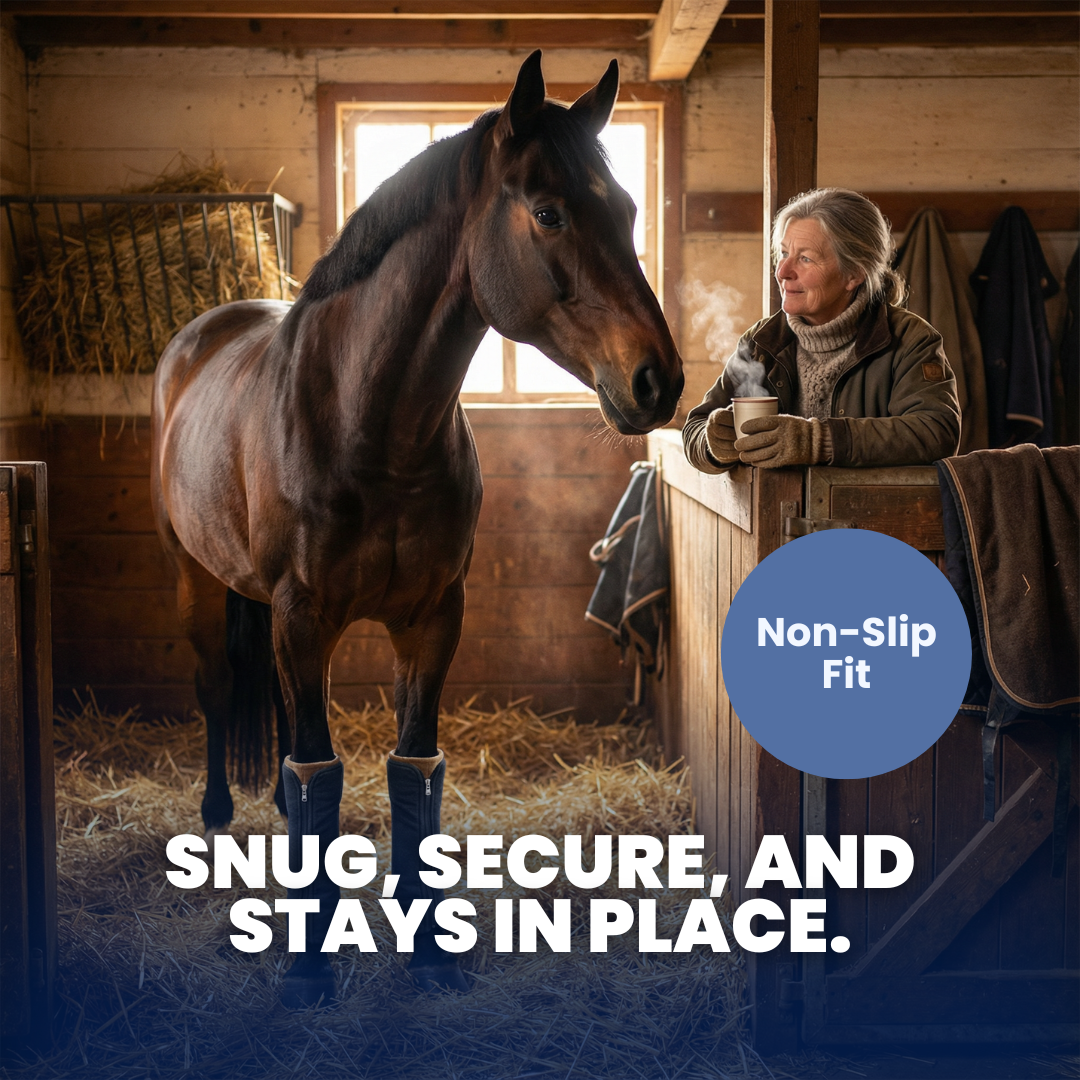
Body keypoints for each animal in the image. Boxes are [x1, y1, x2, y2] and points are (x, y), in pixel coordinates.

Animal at [151, 50, 683, 1007]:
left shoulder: (433, 617)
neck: (369, 423)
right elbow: (321, 771)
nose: (658, 380)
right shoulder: (303, 618)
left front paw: (429, 944)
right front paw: (309, 961)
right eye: (549, 211)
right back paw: (216, 815)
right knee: (218, 689)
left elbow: (412, 768)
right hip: (196, 582)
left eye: (626, 209)